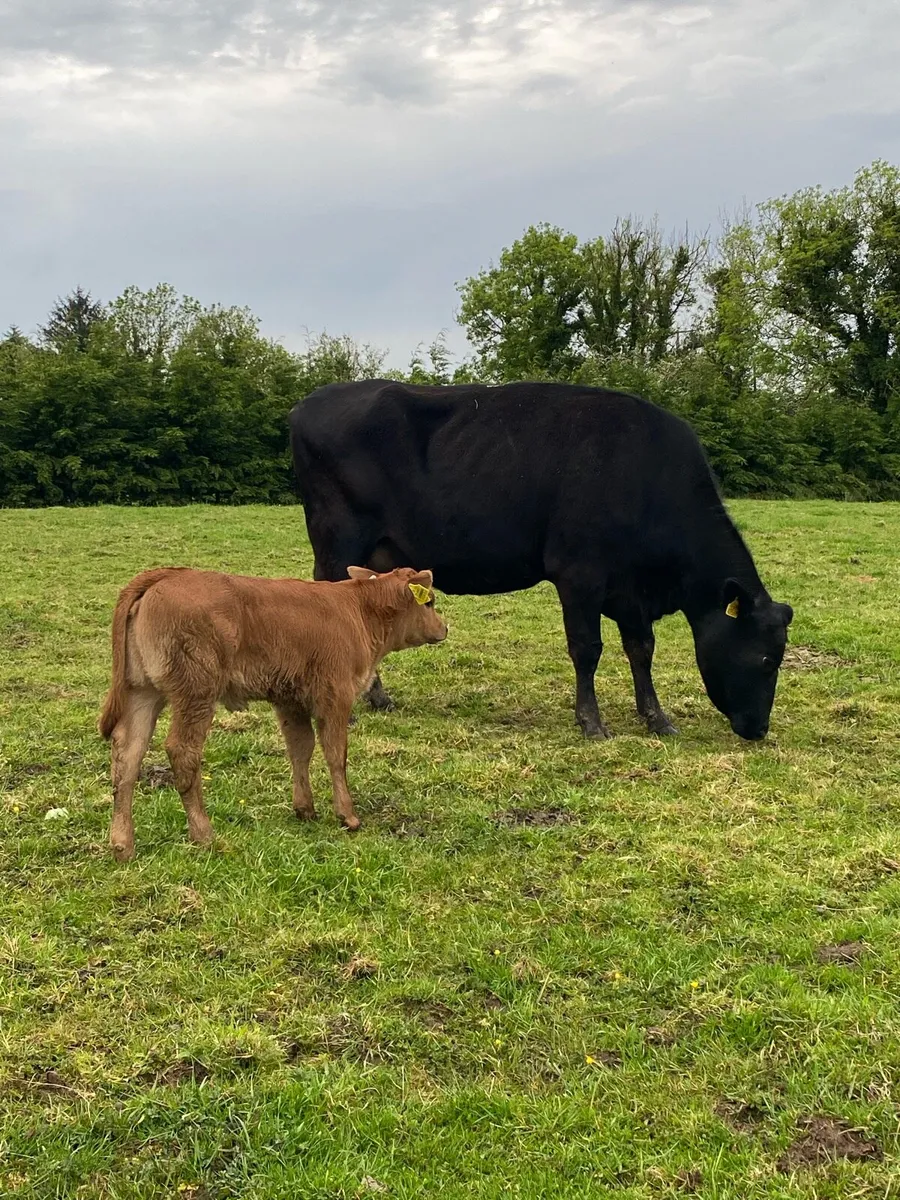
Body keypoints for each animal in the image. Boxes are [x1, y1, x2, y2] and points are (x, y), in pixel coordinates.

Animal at [98, 565, 447, 860]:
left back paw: (123, 845)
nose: (445, 627)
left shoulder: (290, 700)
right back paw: (204, 834)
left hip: (143, 692)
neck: (358, 611)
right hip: (196, 693)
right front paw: (347, 815)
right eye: (429, 602)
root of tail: (167, 574)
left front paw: (305, 808)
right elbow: (336, 753)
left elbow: (300, 749)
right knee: (182, 751)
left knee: (127, 756)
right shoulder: (336, 696)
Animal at [290, 380, 793, 742]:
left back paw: (378, 699)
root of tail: (309, 402)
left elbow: (641, 650)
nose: (759, 730)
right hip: (338, 543)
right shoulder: (580, 574)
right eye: (768, 659)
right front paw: (592, 723)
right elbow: (587, 649)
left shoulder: (630, 589)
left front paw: (656, 718)